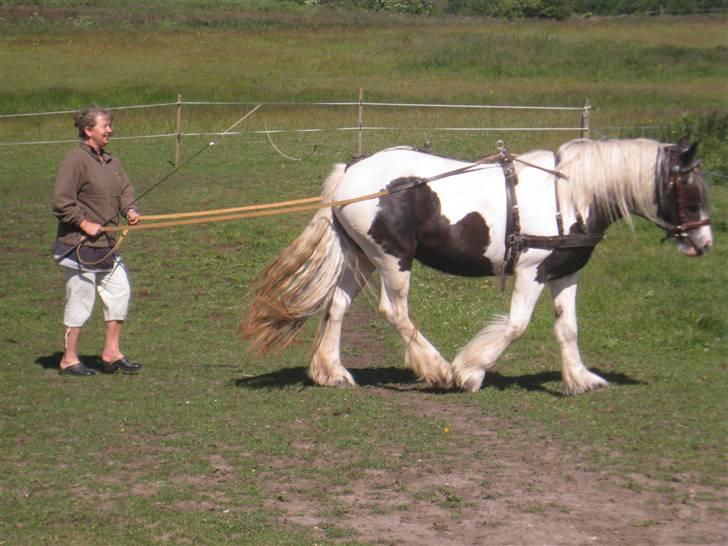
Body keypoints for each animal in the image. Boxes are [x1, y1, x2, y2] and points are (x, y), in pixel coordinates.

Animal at [242, 136, 712, 392]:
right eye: (690, 189)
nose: (705, 243)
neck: (570, 196)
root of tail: (352, 172)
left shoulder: (565, 272)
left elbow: (568, 328)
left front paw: (581, 378)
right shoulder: (532, 271)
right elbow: (516, 326)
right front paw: (470, 371)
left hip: (361, 257)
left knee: (337, 307)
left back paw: (332, 372)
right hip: (393, 259)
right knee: (395, 311)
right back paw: (436, 369)